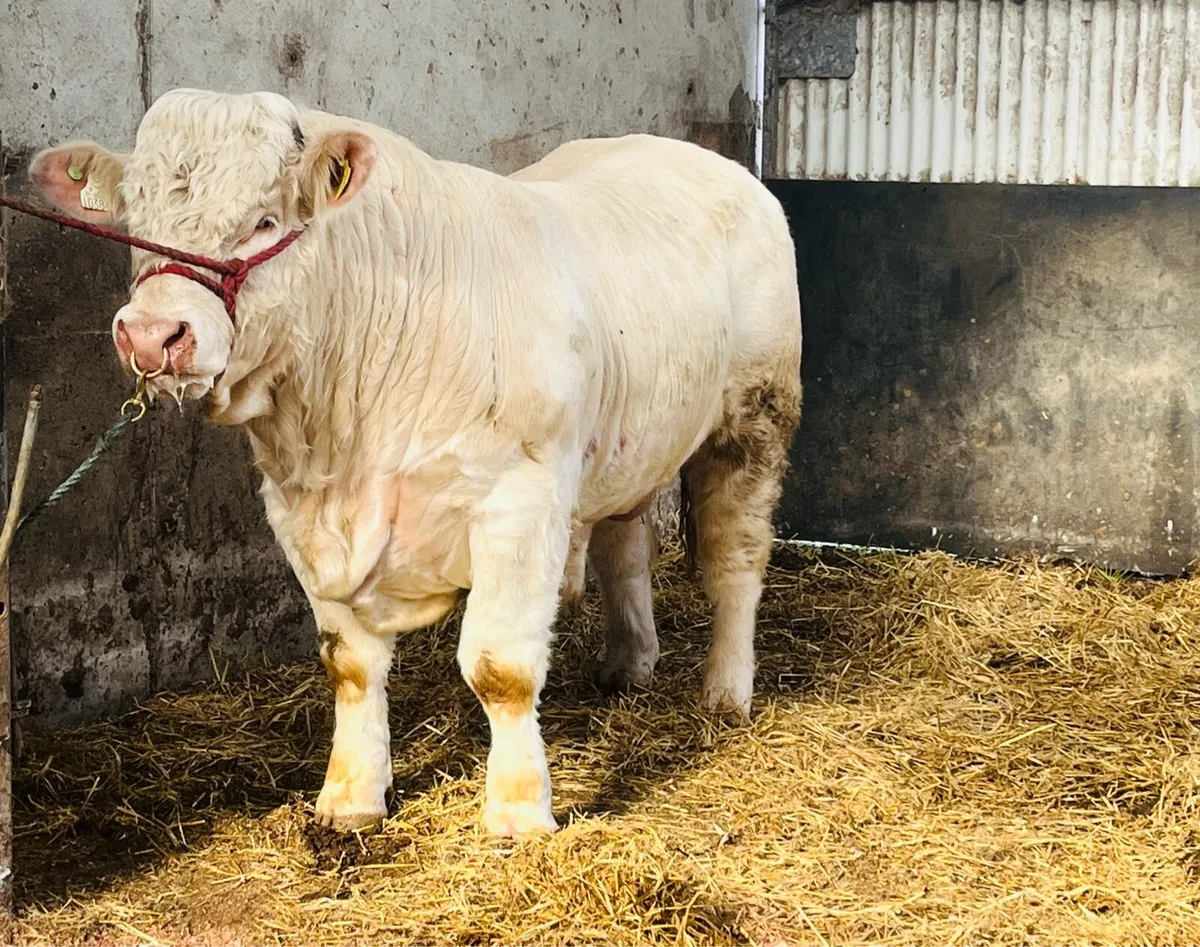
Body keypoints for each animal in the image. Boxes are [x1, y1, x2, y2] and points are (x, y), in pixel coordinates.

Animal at [29, 89, 802, 837]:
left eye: (263, 222)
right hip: (627, 441)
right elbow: (349, 664)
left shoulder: (519, 502)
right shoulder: (296, 511)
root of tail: (694, 155)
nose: (152, 335)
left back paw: (726, 693)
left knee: (734, 562)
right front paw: (350, 797)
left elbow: (500, 666)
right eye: (136, 221)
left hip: (755, 418)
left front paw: (518, 811)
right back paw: (628, 662)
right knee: (625, 543)